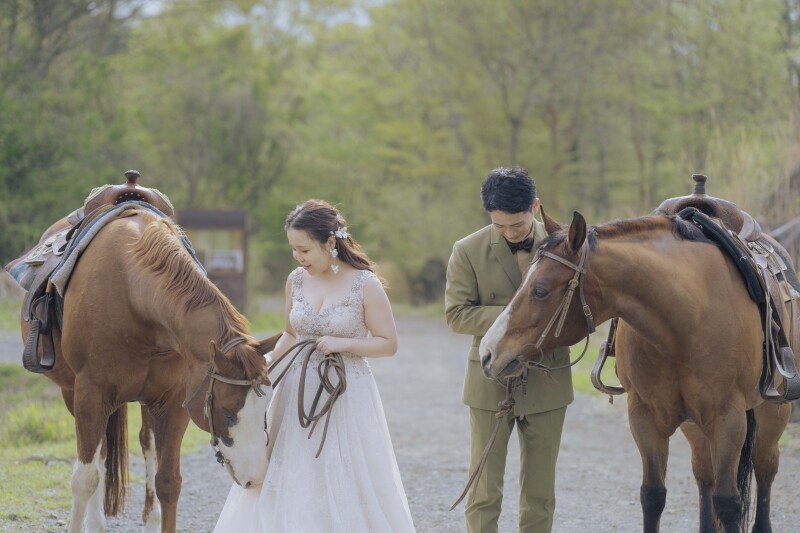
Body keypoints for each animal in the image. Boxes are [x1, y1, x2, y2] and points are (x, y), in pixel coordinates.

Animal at [20, 208, 280, 532]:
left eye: (266, 409)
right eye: (228, 412)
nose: (255, 477)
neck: (133, 296)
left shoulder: (174, 403)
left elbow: (168, 481)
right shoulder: (89, 395)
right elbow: (85, 479)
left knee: (144, 442)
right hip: (74, 394)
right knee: (98, 458)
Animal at [478, 210, 796, 532]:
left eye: (540, 291)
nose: (488, 352)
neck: (687, 320)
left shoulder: (728, 419)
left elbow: (729, 503)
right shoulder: (645, 417)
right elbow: (653, 495)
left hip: (772, 413)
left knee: (765, 468)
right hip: (694, 425)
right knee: (704, 473)